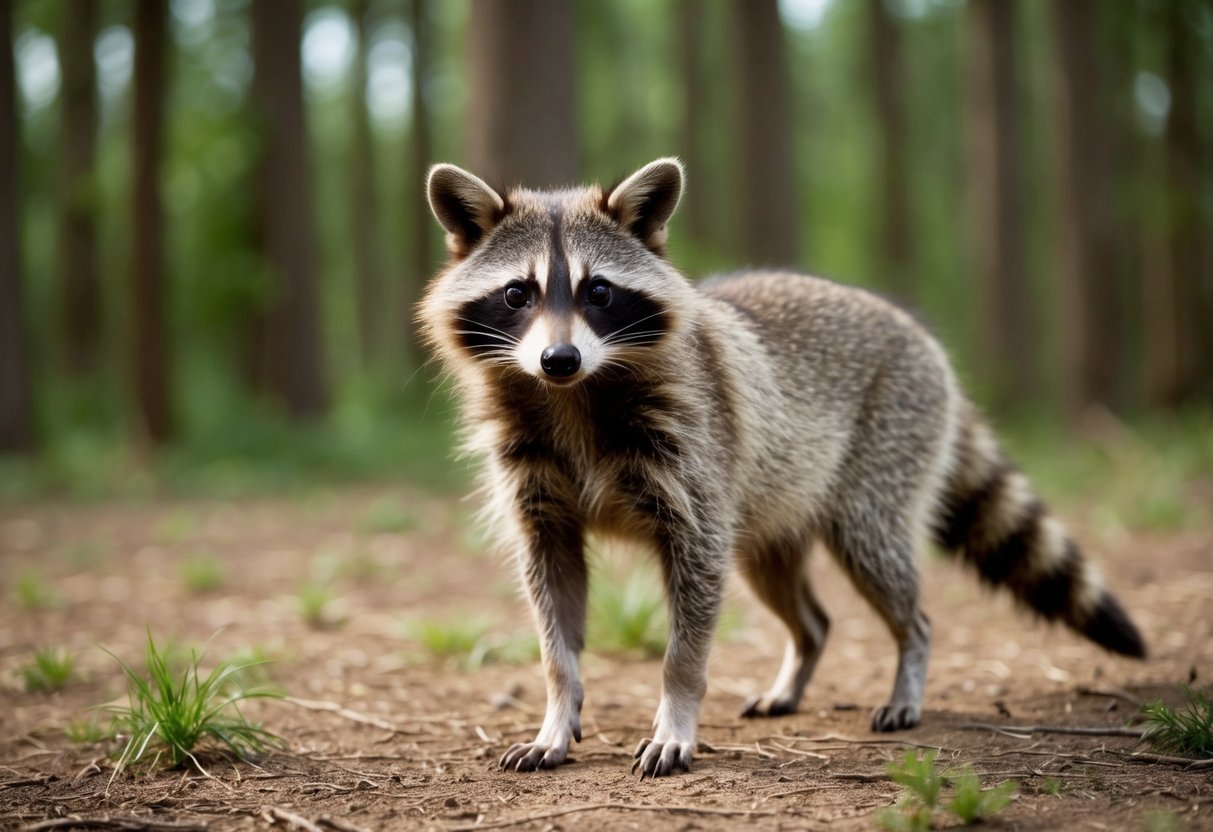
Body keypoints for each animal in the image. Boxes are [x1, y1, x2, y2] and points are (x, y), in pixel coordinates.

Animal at [418, 158, 1146, 779]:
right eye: (518, 294)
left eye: (599, 291)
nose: (558, 359)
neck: (574, 397)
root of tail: (915, 332)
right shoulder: (538, 488)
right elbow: (553, 612)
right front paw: (557, 711)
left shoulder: (695, 460)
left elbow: (688, 628)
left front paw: (676, 710)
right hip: (770, 510)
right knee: (797, 604)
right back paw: (800, 660)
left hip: (884, 447)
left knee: (884, 565)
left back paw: (909, 655)